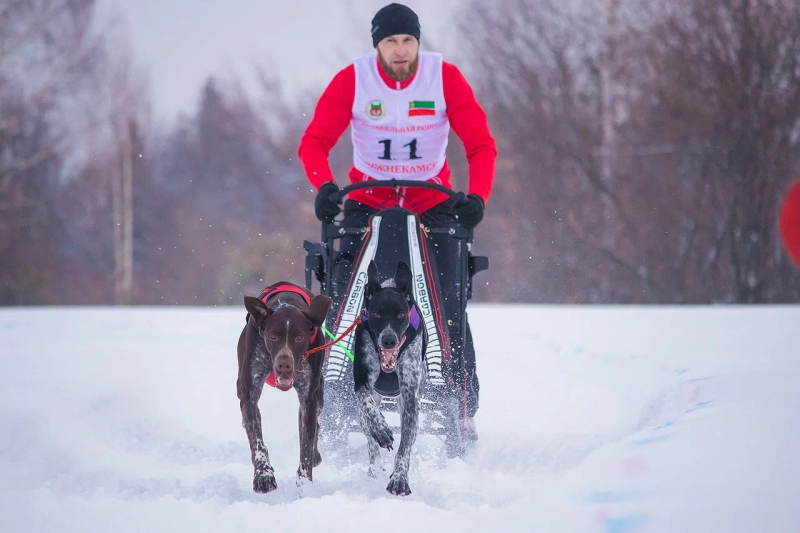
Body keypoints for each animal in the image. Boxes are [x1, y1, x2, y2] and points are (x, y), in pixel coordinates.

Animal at [237, 282, 332, 493]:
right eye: (272, 336)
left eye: (299, 337)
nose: (284, 365)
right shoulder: (249, 395)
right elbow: (257, 441)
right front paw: (264, 475)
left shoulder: (308, 400)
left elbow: (306, 446)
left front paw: (305, 484)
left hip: (319, 398)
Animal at [353, 260, 428, 496]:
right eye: (376, 314)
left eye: (401, 315)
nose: (388, 340)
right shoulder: (361, 382)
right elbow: (368, 404)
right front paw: (382, 430)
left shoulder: (411, 397)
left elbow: (404, 449)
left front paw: (399, 479)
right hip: (362, 416)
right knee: (371, 444)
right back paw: (374, 470)